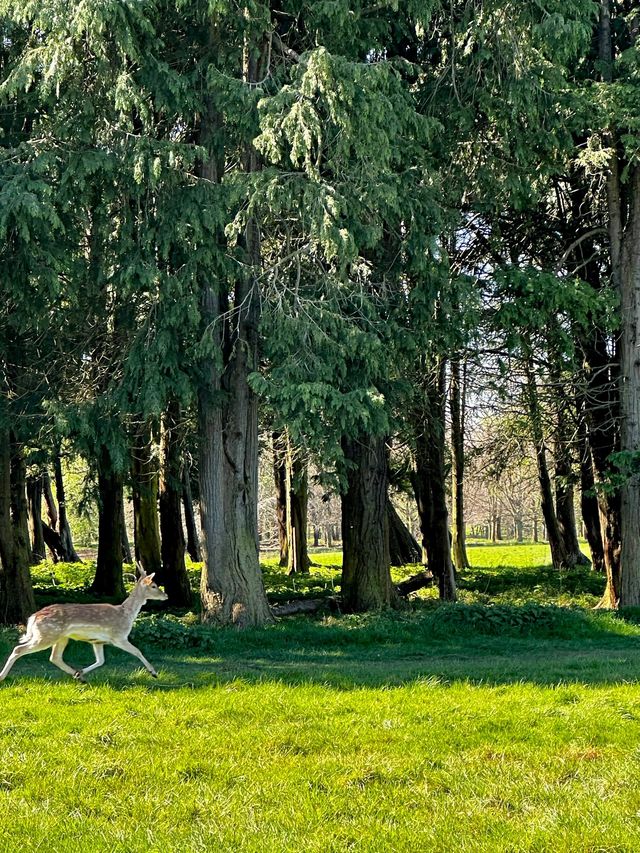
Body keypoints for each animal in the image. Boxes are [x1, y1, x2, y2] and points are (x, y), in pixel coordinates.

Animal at [0, 568, 168, 684]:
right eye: (154, 586)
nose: (166, 595)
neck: (126, 614)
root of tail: (33, 618)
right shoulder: (118, 636)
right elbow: (138, 651)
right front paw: (154, 673)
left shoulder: (98, 641)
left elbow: (101, 661)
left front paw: (80, 673)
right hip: (46, 635)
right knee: (19, 649)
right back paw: (2, 677)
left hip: (60, 637)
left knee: (54, 657)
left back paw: (79, 677)